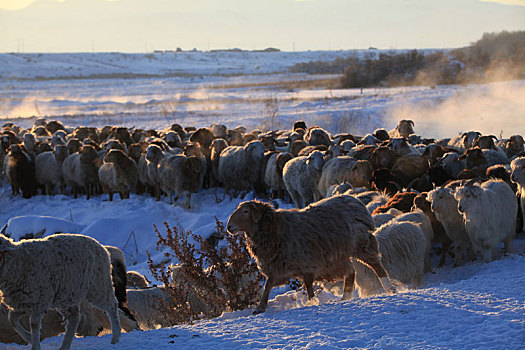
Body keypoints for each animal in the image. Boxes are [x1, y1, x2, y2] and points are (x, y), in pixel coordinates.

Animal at [227, 196, 396, 314]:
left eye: (246, 211)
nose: (229, 227)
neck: (275, 230)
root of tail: (355, 202)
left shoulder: (307, 263)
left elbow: (308, 285)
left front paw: (311, 302)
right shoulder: (279, 267)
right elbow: (268, 286)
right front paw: (260, 307)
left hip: (360, 244)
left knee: (376, 266)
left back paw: (390, 288)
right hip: (340, 256)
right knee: (351, 273)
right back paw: (345, 297)